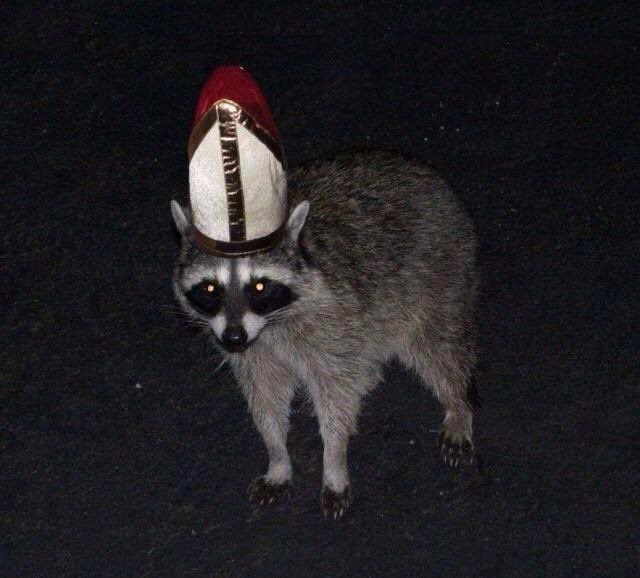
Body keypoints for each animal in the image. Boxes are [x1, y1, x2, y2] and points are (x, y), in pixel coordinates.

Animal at [171, 149, 478, 519]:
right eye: (210, 288)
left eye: (259, 286)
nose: (233, 339)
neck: (270, 323)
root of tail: (423, 170)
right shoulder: (256, 349)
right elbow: (265, 397)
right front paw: (277, 455)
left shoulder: (331, 318)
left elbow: (336, 394)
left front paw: (334, 458)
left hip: (440, 273)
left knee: (438, 347)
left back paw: (458, 403)